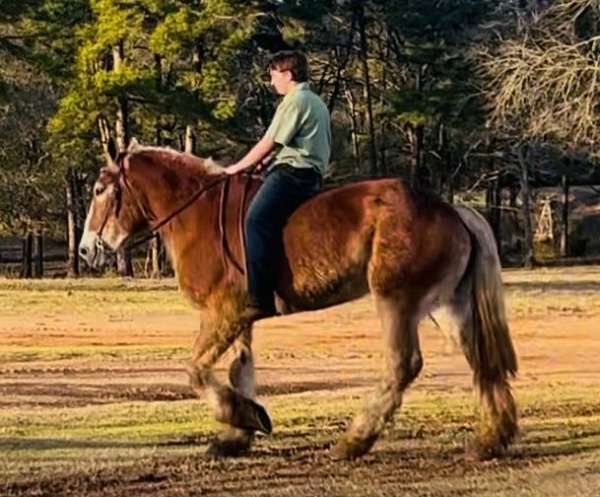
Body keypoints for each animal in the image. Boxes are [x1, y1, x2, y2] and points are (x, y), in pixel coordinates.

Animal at [77, 140, 516, 462]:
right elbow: (240, 369)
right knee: (481, 361)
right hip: (447, 307)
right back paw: (491, 440)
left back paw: (354, 441)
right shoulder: (241, 316)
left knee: (402, 365)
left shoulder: (223, 313)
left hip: (397, 301)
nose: (85, 250)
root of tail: (451, 210)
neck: (197, 214)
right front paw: (237, 434)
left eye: (99, 191)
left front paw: (243, 416)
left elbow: (196, 372)